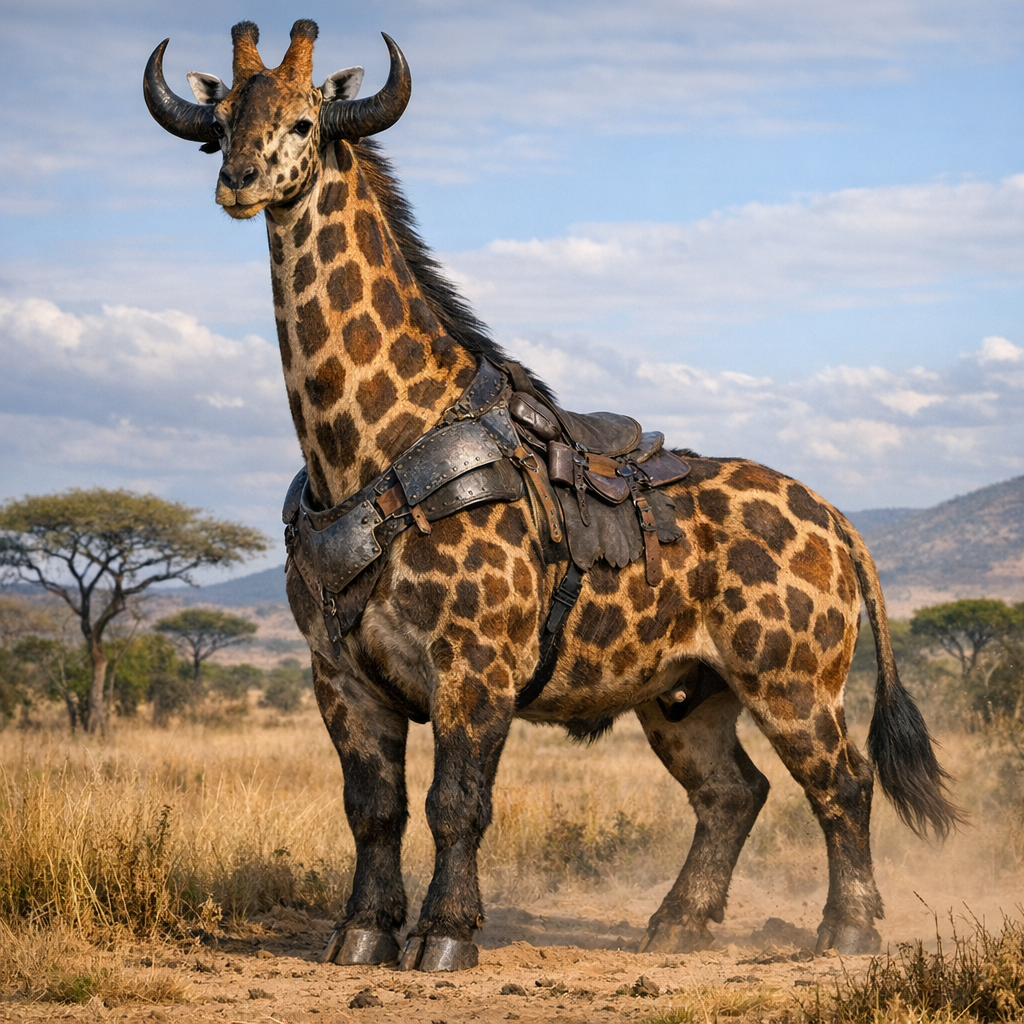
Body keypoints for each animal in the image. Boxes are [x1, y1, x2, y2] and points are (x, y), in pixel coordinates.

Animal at [144, 20, 961, 973]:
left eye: (305, 122)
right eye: (219, 126)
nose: (240, 181)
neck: (360, 448)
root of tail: (839, 522)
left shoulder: (475, 664)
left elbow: (456, 805)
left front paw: (448, 935)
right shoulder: (340, 674)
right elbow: (373, 812)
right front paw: (362, 933)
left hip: (793, 680)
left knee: (843, 781)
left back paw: (849, 931)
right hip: (688, 695)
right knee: (734, 791)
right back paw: (677, 925)